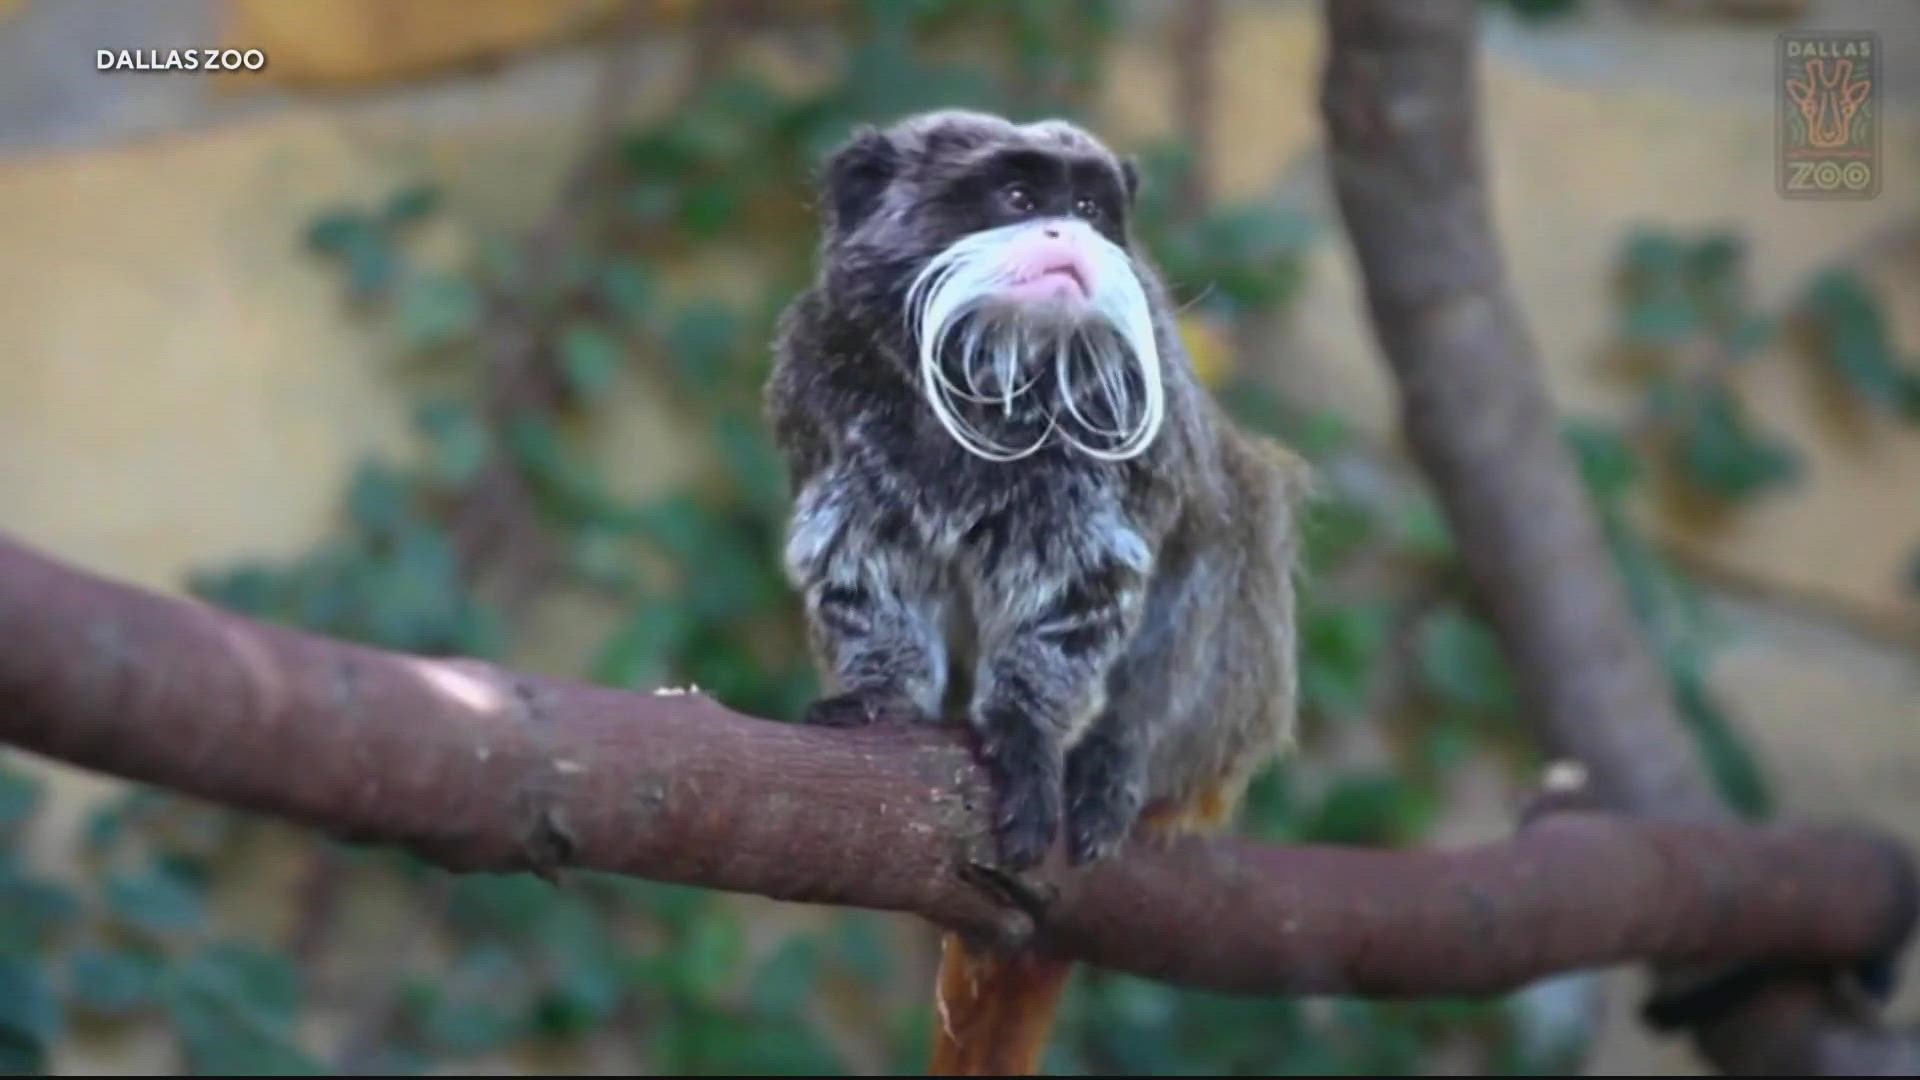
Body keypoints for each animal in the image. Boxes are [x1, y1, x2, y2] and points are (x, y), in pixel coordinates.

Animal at [764, 109, 1305, 1068]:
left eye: (1088, 207)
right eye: (1019, 197)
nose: (1069, 233)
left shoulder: (1116, 417)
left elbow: (1081, 592)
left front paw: (1026, 736)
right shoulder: (823, 387)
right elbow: (862, 567)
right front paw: (880, 695)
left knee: (1234, 522)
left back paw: (1114, 761)